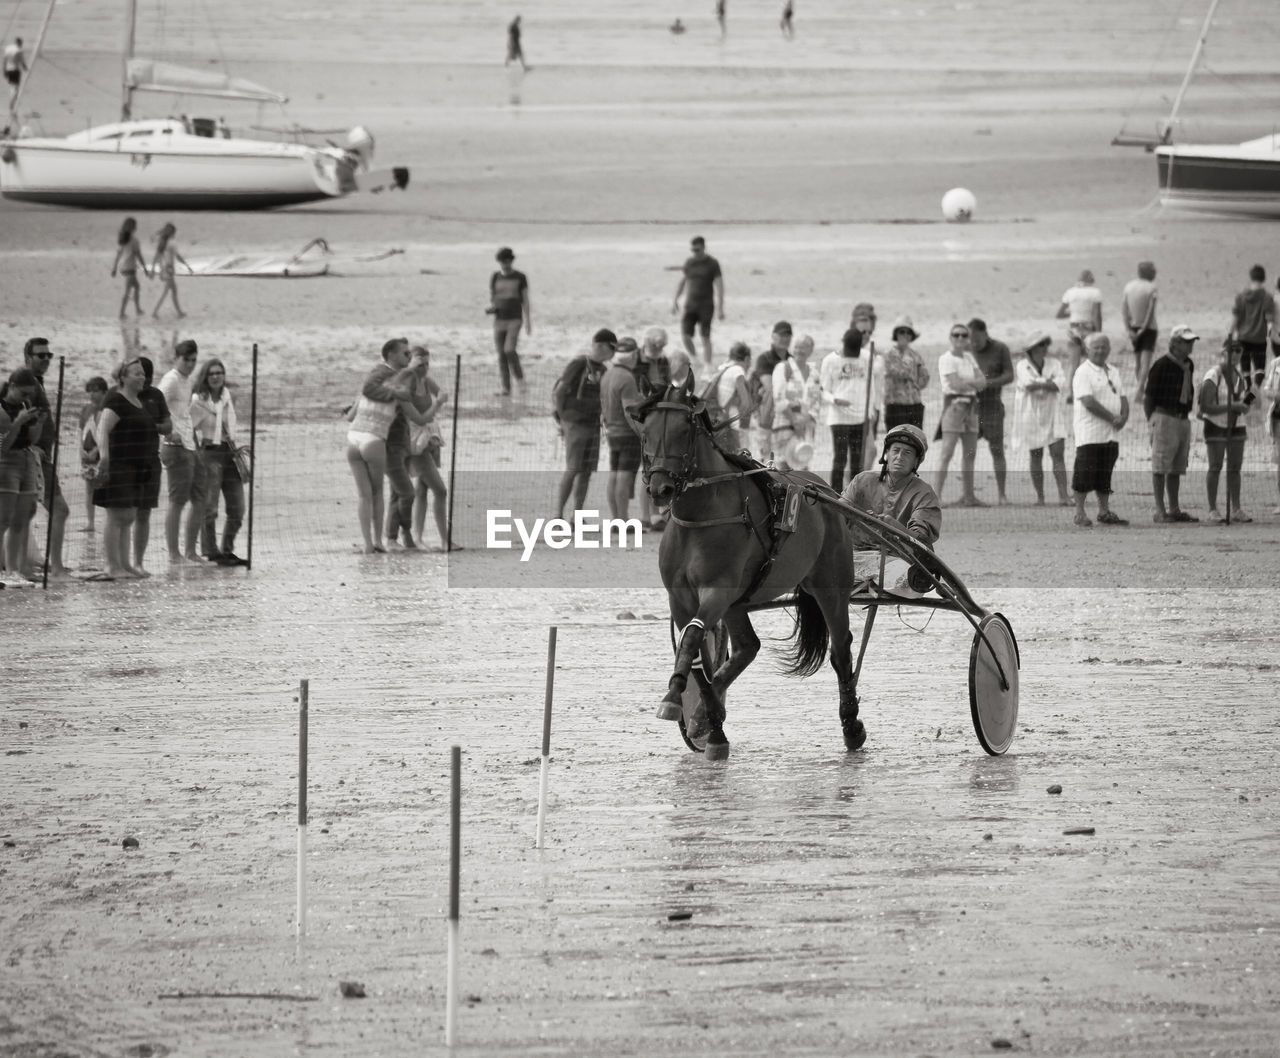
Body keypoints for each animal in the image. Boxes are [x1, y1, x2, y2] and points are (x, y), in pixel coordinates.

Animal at [627, 376, 860, 757]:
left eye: (683, 428)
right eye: (645, 431)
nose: (660, 487)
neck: (702, 516)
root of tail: (823, 489)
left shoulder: (717, 591)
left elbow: (692, 638)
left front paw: (675, 698)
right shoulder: (681, 598)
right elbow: (696, 655)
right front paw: (710, 726)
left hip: (831, 583)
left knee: (841, 648)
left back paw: (852, 726)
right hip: (739, 601)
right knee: (748, 647)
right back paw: (704, 718)